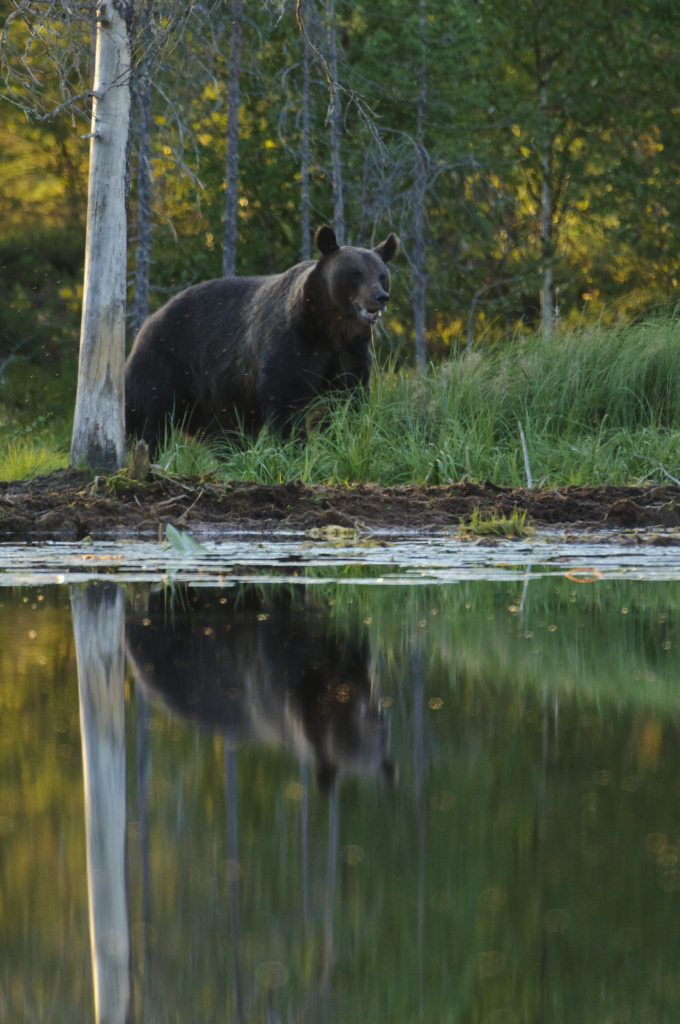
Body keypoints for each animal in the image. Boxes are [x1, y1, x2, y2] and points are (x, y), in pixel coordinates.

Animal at [124, 226, 399, 450]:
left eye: (382, 274)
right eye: (356, 273)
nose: (380, 296)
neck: (330, 325)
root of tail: (148, 321)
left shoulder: (350, 352)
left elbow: (347, 399)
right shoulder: (292, 344)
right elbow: (285, 397)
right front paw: (294, 447)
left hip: (217, 398)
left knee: (228, 436)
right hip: (166, 363)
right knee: (146, 418)